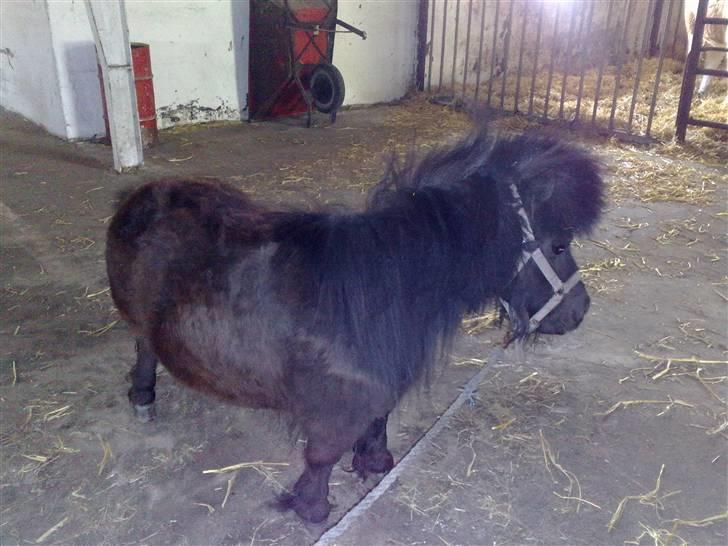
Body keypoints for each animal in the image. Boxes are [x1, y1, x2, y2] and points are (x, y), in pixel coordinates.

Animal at [106, 128, 604, 523]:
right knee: (143, 347)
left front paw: (375, 462)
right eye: (559, 245)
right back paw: (143, 396)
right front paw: (312, 509)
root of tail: (138, 195)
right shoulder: (335, 404)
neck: (382, 287)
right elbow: (322, 455)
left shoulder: (380, 380)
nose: (580, 311)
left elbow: (379, 418)